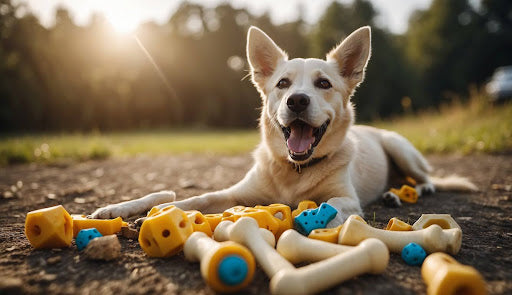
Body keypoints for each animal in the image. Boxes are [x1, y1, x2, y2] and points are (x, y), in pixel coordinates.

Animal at [89, 26, 476, 228]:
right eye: (283, 84)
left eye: (323, 84)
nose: (297, 101)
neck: (294, 171)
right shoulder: (236, 193)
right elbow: (197, 199)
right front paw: (126, 210)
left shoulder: (345, 199)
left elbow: (325, 207)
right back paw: (393, 193)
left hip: (400, 148)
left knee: (426, 179)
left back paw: (411, 191)